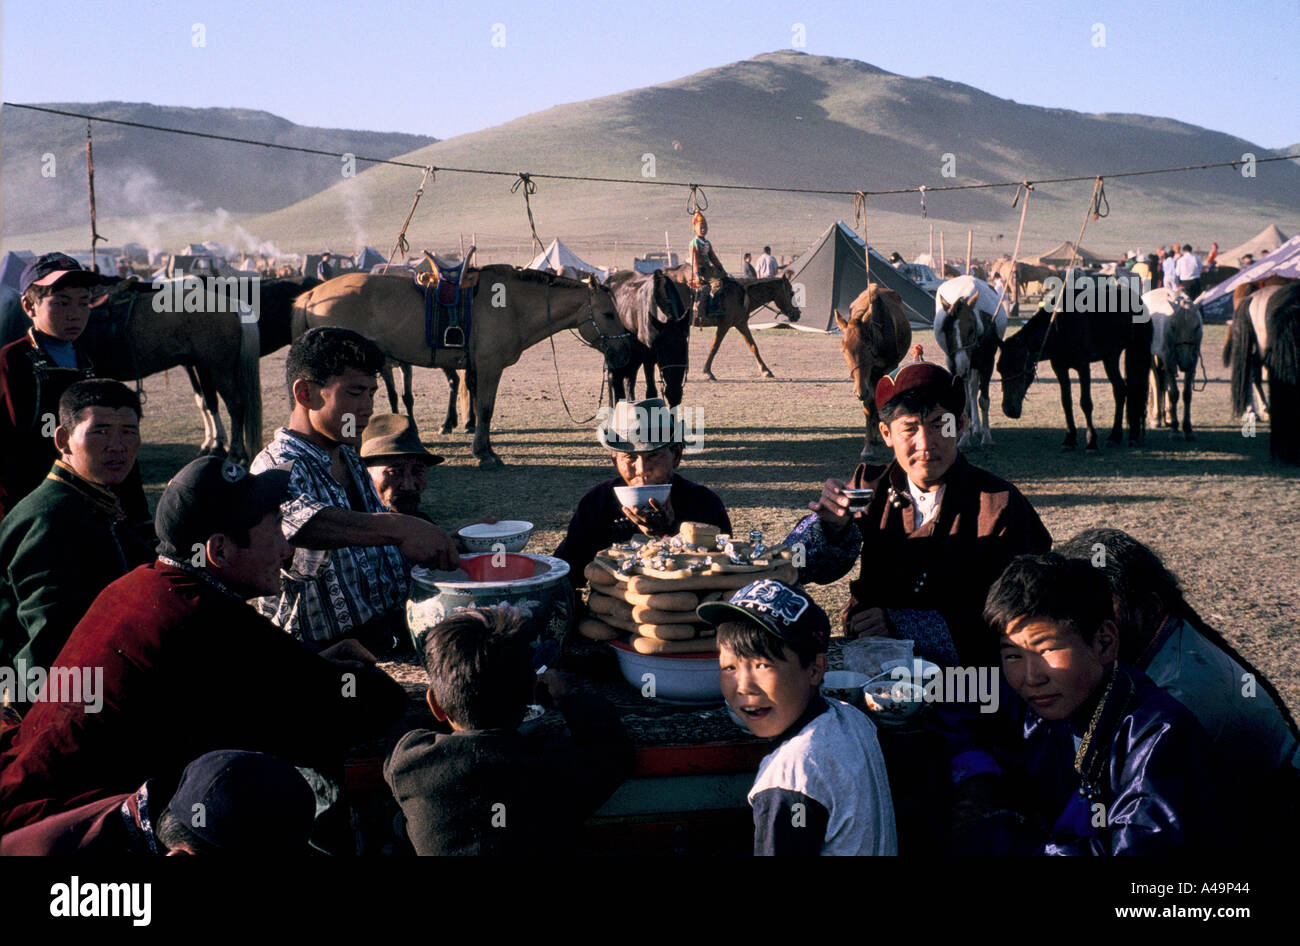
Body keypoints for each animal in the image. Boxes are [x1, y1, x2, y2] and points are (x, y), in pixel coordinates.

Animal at [296, 267, 639, 467]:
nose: (625, 352)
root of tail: (312, 294)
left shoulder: (477, 367)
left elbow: (479, 406)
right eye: (608, 314)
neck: (511, 305)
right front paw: (484, 453)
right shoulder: (489, 366)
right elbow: (485, 408)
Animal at [605, 266, 691, 405]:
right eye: (662, 354)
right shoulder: (648, 356)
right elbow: (651, 392)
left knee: (628, 379)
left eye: (684, 350)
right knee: (614, 378)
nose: (674, 395)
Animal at [670, 263, 800, 379]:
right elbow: (715, 346)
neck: (741, 297)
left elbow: (753, 346)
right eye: (791, 293)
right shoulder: (724, 325)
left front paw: (766, 371)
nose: (797, 314)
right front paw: (708, 372)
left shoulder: (741, 324)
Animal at [832, 284, 915, 457]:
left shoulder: (889, 366)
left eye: (868, 348)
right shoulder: (867, 377)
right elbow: (869, 404)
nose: (859, 391)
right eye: (844, 350)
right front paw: (868, 447)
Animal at [998, 272, 1154, 449]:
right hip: (1110, 357)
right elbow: (1066, 402)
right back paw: (1115, 436)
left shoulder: (1083, 367)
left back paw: (1133, 436)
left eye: (1017, 368)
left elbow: (1086, 403)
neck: (1060, 329)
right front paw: (1070, 439)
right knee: (1120, 390)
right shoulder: (1059, 369)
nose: (1008, 409)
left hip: (1135, 351)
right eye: (1000, 370)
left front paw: (1091, 441)